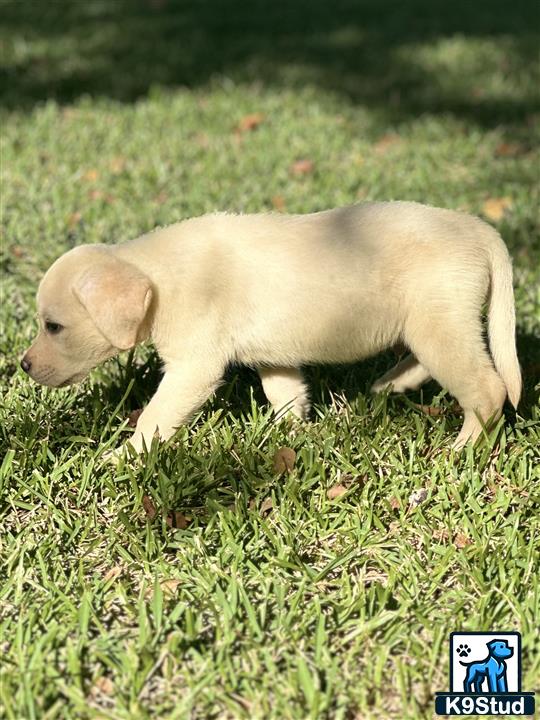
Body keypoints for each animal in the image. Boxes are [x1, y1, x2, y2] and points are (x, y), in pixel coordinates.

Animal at [21, 201, 520, 450]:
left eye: (53, 326)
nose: (23, 366)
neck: (159, 276)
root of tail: (481, 230)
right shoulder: (274, 358)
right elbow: (287, 397)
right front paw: (292, 437)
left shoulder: (194, 367)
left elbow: (155, 416)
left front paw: (123, 458)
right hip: (429, 324)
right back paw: (388, 384)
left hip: (439, 325)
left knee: (487, 389)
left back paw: (462, 449)